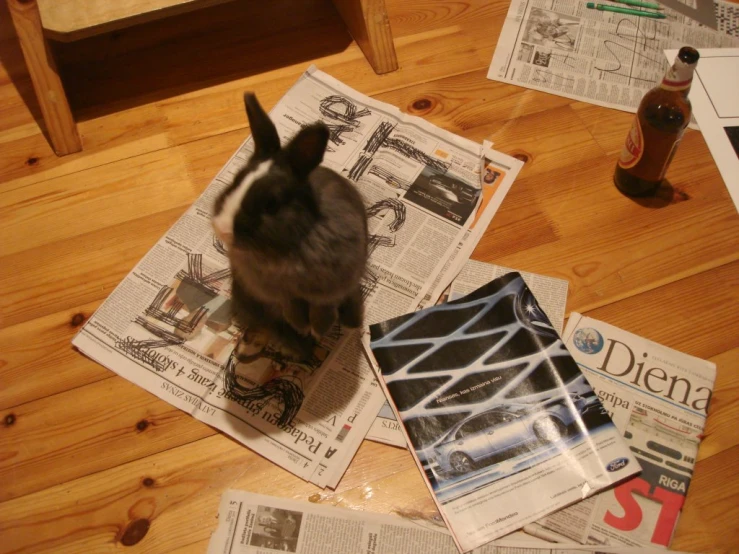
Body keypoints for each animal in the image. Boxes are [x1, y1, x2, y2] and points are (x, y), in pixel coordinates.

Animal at [212, 95, 368, 358]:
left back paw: (351, 322)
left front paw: (319, 329)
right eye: (235, 181)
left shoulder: (329, 289)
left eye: (271, 204)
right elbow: (291, 308)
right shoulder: (279, 293)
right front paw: (302, 328)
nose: (223, 230)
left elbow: (323, 310)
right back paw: (300, 347)